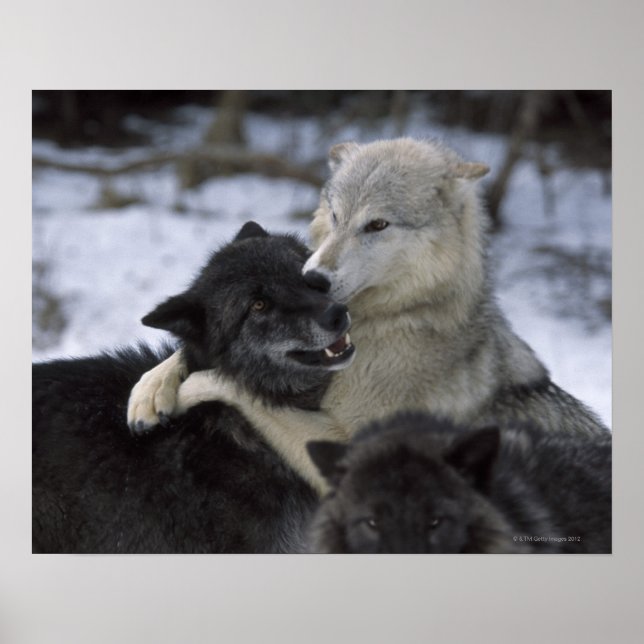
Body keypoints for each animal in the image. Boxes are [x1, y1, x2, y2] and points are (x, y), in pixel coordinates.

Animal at [127, 138, 608, 487]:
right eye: (336, 216)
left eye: (377, 225)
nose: (315, 278)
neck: (395, 318)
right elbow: (185, 355)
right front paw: (150, 391)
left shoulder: (346, 446)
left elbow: (233, 384)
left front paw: (187, 389)